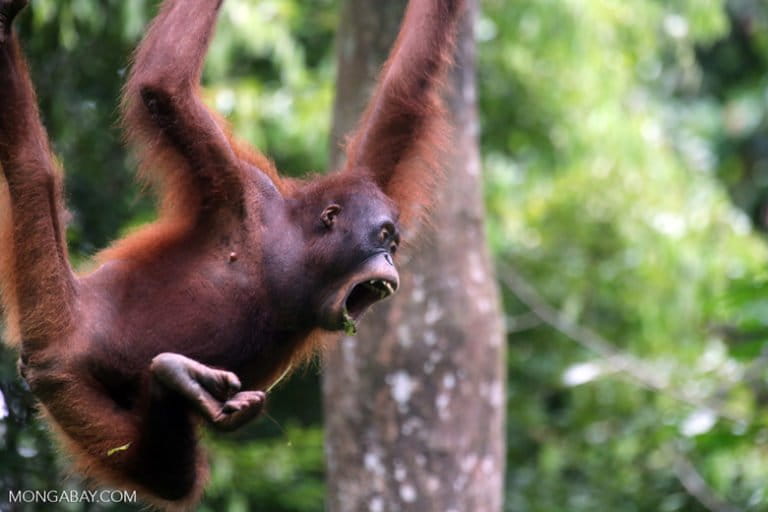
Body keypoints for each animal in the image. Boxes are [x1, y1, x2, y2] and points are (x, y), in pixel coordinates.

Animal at [0, 0, 465, 508]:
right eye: (382, 237)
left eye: (394, 243)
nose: (391, 261)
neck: (294, 256)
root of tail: (71, 315)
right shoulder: (237, 188)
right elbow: (162, 88)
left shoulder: (365, 175)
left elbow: (404, 94)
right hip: (63, 366)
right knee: (34, 172)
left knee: (169, 474)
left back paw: (172, 382)